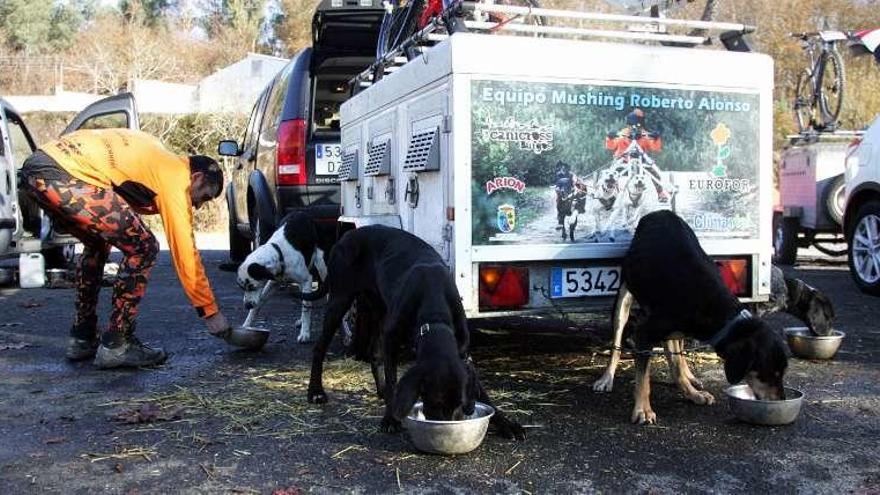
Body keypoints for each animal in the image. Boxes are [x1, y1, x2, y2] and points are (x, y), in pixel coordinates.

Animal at [235, 211, 328, 342]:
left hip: (321, 266)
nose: (247, 306)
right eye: (242, 288)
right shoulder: (274, 282)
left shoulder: (307, 279)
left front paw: (305, 333)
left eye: (252, 286)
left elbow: (306, 307)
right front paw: (246, 325)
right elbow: (259, 303)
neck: (279, 253)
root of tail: (303, 212)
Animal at [300, 225, 524, 438]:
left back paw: (380, 391)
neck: (434, 317)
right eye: (434, 402)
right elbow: (392, 379)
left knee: (374, 351)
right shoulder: (391, 338)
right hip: (340, 300)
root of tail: (346, 236)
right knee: (320, 347)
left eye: (459, 404)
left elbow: (482, 392)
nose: (446, 428)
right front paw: (390, 418)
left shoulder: (463, 352)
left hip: (379, 309)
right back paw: (316, 392)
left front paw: (506, 423)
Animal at [600, 211, 792, 424]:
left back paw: (689, 378)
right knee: (617, 342)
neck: (715, 306)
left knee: (678, 355)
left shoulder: (671, 331)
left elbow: (676, 364)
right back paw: (607, 378)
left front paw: (692, 394)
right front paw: (643, 409)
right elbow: (644, 377)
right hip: (624, 299)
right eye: (770, 374)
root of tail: (659, 212)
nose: (781, 401)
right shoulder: (645, 332)